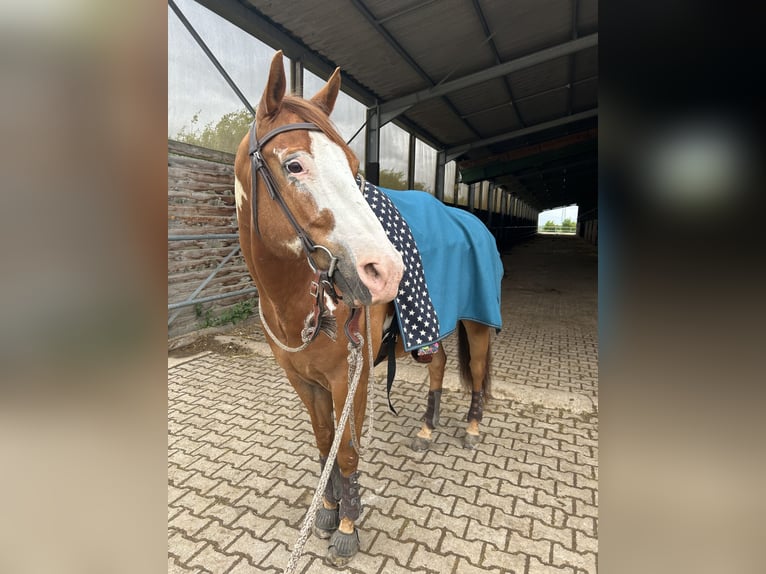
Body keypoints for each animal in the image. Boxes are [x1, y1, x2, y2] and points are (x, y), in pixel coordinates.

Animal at [233, 50, 499, 566]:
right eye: (294, 164)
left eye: (354, 165)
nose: (387, 271)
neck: (299, 301)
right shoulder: (305, 382)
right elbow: (325, 446)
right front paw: (327, 509)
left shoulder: (348, 378)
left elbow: (348, 452)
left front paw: (348, 526)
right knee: (438, 363)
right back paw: (426, 429)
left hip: (477, 320)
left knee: (476, 369)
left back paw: (474, 427)